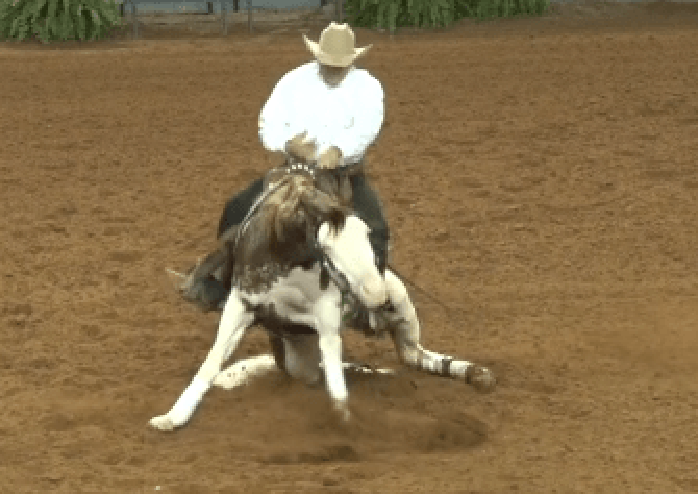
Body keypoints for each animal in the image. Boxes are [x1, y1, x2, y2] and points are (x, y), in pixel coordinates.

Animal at [150, 162, 495, 431]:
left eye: (369, 234)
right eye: (325, 245)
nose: (377, 297)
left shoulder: (327, 316)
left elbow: (336, 381)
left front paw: (346, 421)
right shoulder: (240, 305)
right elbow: (211, 363)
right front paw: (173, 417)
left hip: (400, 301)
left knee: (411, 354)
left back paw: (474, 374)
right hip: (299, 357)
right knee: (326, 370)